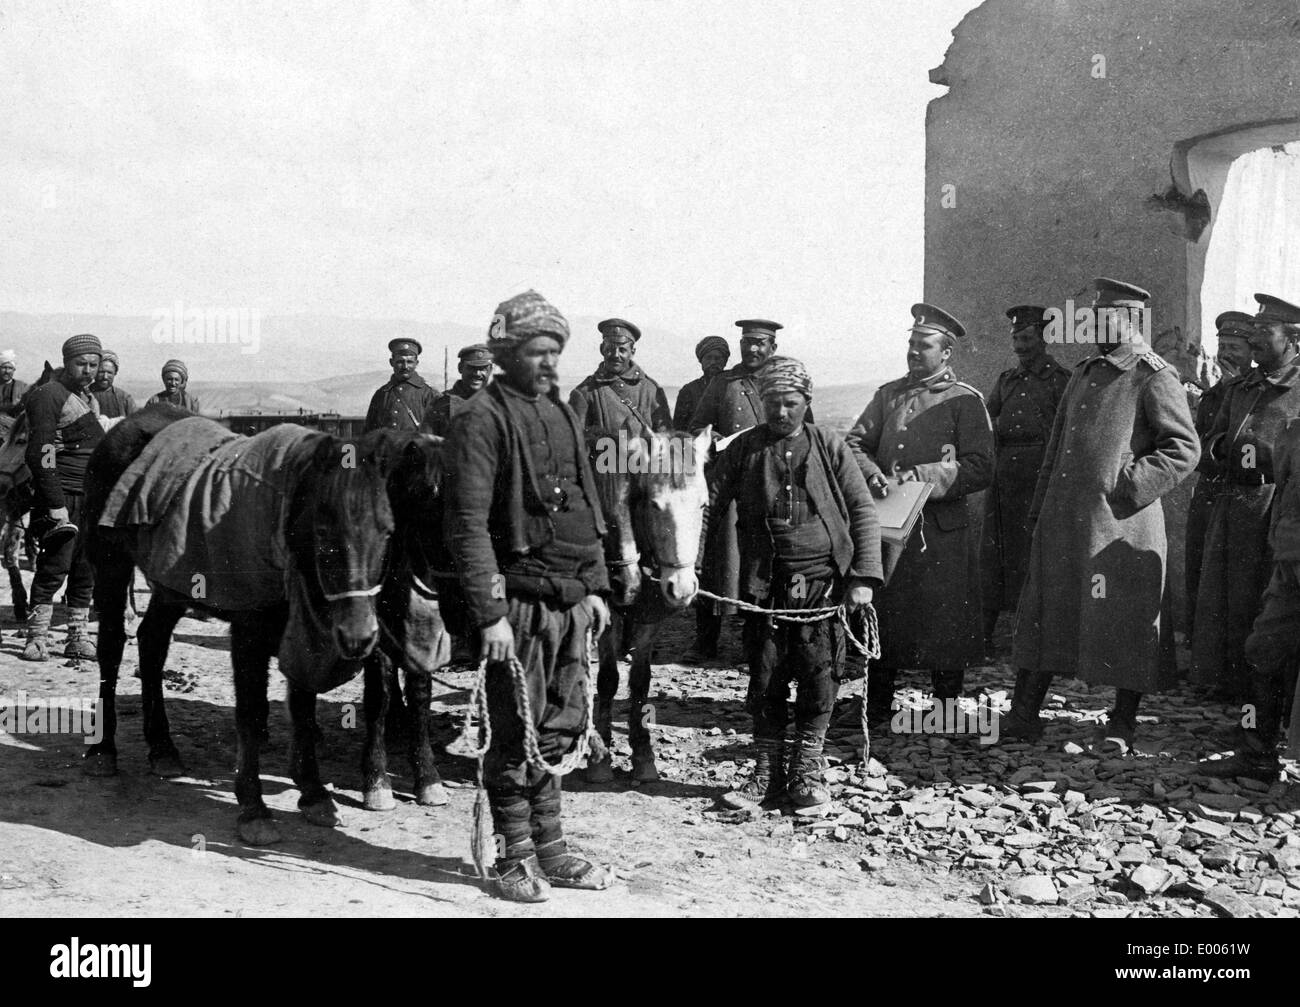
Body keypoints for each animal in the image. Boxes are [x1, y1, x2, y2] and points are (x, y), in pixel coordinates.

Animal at [83, 405, 405, 847]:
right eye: (323, 532)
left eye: (387, 531)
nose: (359, 636)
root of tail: (130, 423)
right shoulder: (249, 632)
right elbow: (251, 712)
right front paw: (253, 808)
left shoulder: (299, 630)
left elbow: (302, 706)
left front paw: (313, 792)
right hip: (111, 566)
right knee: (113, 647)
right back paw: (103, 751)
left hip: (170, 586)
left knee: (152, 644)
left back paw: (163, 748)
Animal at [590, 428, 712, 784]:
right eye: (655, 505)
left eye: (703, 503)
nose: (682, 588)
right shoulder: (608, 611)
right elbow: (608, 679)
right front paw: (601, 760)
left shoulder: (650, 616)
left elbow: (641, 680)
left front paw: (643, 756)